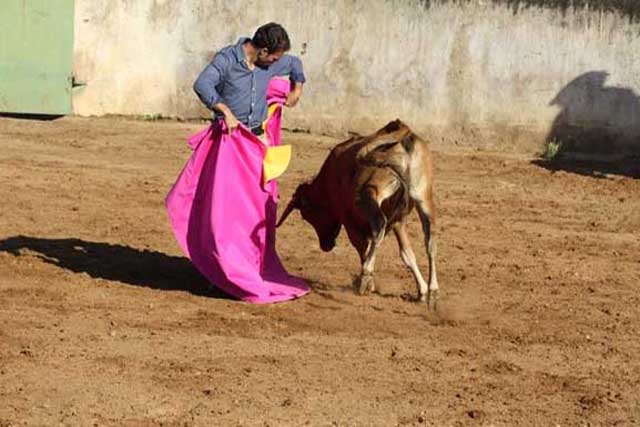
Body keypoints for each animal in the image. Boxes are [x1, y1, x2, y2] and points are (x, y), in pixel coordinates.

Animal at [278, 120, 438, 306]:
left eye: (307, 214)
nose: (326, 246)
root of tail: (403, 138)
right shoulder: (398, 221)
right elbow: (407, 254)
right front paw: (422, 291)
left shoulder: (350, 222)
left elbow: (363, 248)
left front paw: (368, 283)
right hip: (424, 199)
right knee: (430, 241)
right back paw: (433, 290)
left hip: (368, 194)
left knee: (379, 225)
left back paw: (365, 277)